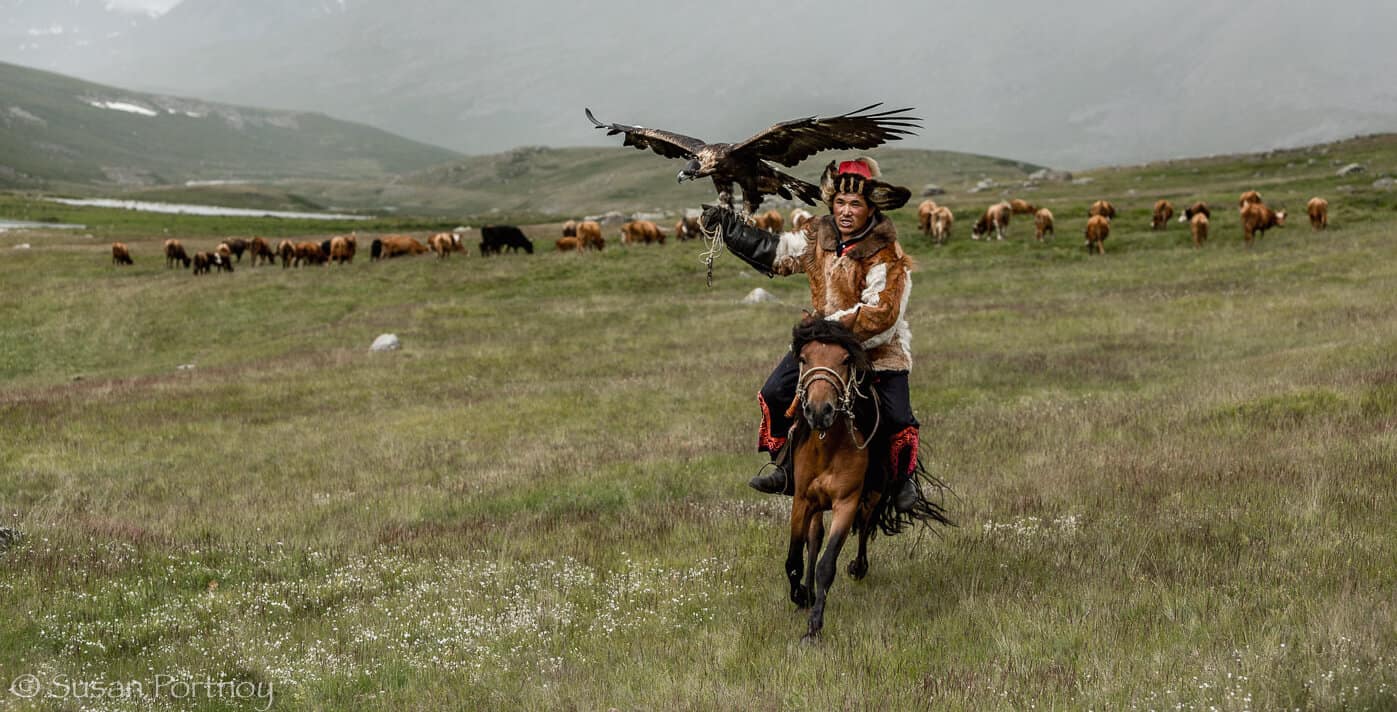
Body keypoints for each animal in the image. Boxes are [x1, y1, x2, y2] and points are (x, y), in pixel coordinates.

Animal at [787, 316, 949, 639]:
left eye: (845, 359)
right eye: (803, 358)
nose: (820, 412)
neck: (827, 443)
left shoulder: (846, 501)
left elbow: (827, 564)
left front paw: (814, 628)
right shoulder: (802, 499)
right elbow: (795, 557)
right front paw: (800, 595)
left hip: (873, 493)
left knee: (863, 525)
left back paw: (858, 568)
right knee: (814, 539)